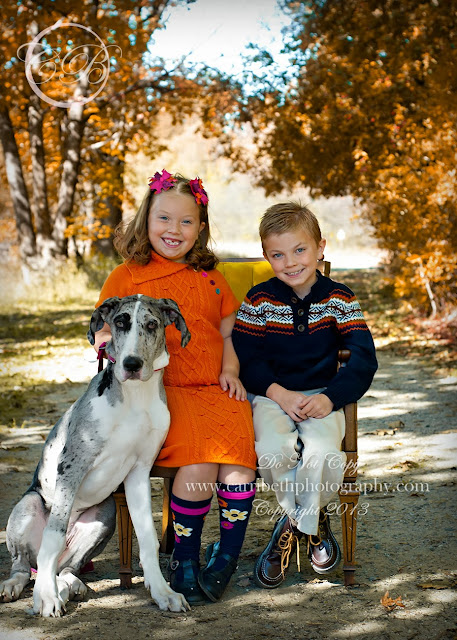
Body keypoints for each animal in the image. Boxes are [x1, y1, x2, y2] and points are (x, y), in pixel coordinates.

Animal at [0, 294, 190, 616]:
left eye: (152, 324)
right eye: (120, 322)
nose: (132, 364)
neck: (135, 396)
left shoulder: (140, 473)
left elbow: (148, 538)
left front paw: (162, 591)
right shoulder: (71, 467)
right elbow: (53, 534)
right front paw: (46, 598)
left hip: (106, 512)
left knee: (66, 568)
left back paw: (68, 585)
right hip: (28, 505)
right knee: (25, 566)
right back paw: (22, 585)